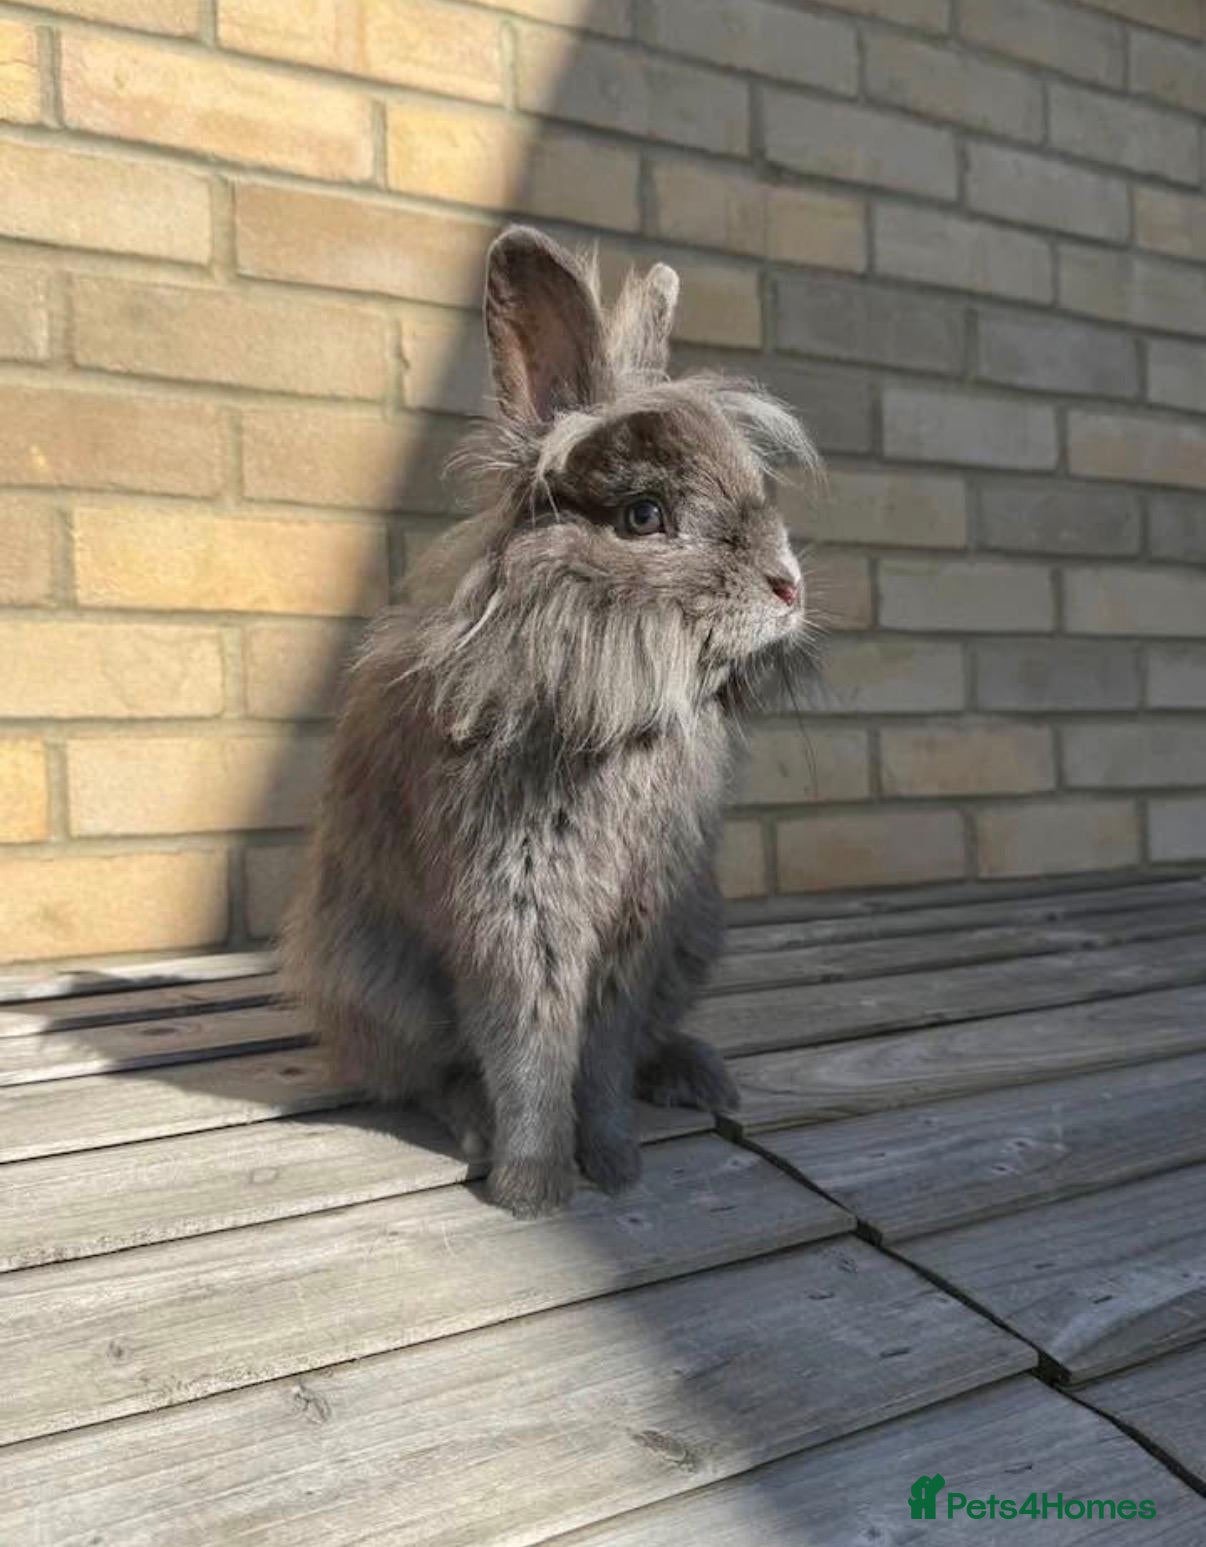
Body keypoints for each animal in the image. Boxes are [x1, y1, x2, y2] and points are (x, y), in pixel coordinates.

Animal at [283, 226, 820, 1218]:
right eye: (645, 515)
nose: (788, 587)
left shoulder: (638, 930)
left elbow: (600, 1057)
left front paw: (614, 1164)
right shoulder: (515, 911)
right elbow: (529, 1052)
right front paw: (534, 1192)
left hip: (695, 936)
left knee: (646, 1040)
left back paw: (697, 1073)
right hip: (370, 978)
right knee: (427, 1072)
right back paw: (473, 1124)